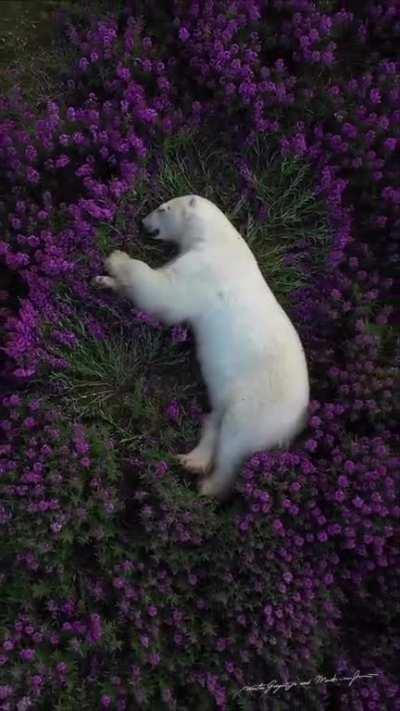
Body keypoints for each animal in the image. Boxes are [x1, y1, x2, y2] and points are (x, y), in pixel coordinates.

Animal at [94, 195, 309, 499]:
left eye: (162, 208)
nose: (143, 222)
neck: (218, 239)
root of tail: (298, 423)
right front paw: (103, 281)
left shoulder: (204, 270)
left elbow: (163, 292)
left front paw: (116, 258)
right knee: (215, 419)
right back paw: (191, 460)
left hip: (259, 406)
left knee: (234, 442)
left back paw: (208, 485)